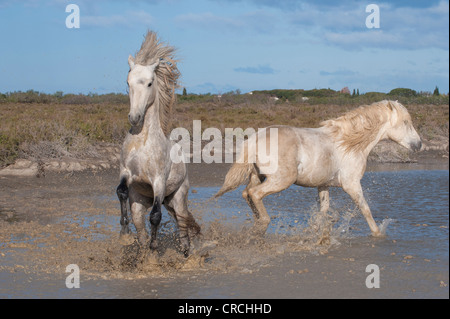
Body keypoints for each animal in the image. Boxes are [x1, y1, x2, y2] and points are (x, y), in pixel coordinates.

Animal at [117, 31, 200, 258]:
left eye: (149, 83)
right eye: (128, 83)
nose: (135, 117)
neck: (143, 141)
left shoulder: (158, 182)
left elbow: (155, 216)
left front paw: (156, 246)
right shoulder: (125, 172)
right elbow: (121, 192)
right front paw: (124, 232)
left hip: (178, 198)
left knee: (182, 223)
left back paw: (186, 252)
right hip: (140, 203)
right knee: (141, 225)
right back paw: (144, 252)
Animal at [214, 100, 422, 238]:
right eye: (406, 122)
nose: (419, 145)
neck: (349, 144)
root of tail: (255, 139)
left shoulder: (323, 185)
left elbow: (324, 210)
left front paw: (316, 230)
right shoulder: (351, 184)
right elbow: (365, 209)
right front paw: (378, 234)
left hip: (258, 176)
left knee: (246, 193)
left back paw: (257, 225)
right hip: (282, 180)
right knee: (255, 194)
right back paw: (263, 224)